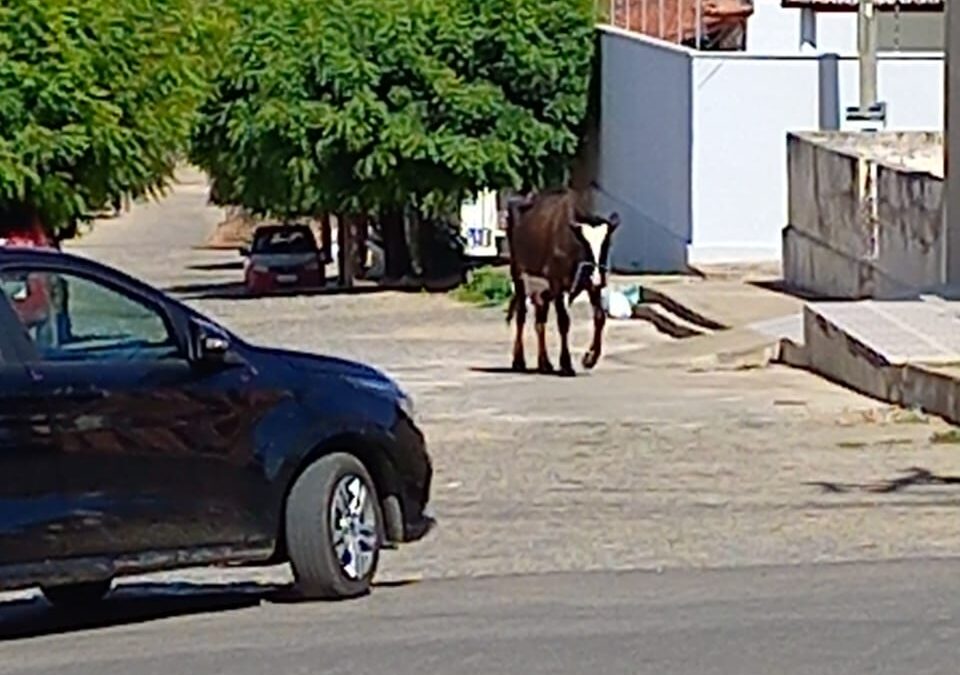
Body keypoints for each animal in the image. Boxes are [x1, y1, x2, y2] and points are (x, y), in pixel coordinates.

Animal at [506, 190, 620, 378]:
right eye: (584, 245)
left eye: (607, 244)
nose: (598, 276)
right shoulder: (557, 284)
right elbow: (564, 322)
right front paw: (566, 364)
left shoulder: (591, 286)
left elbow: (600, 317)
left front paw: (590, 358)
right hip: (519, 275)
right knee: (521, 316)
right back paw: (518, 361)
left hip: (542, 289)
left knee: (540, 321)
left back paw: (544, 363)